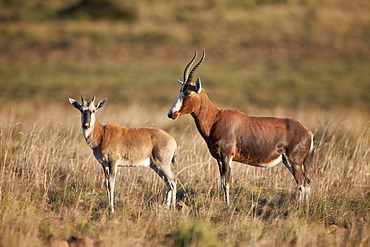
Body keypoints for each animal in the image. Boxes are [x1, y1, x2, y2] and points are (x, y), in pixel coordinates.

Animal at [168, 49, 312, 205]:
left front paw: (227, 205)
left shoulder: (226, 156)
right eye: (180, 91)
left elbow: (226, 183)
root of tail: (308, 132)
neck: (216, 118)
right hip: (289, 162)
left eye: (188, 92)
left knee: (302, 183)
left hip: (294, 162)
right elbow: (222, 182)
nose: (171, 113)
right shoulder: (219, 159)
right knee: (307, 182)